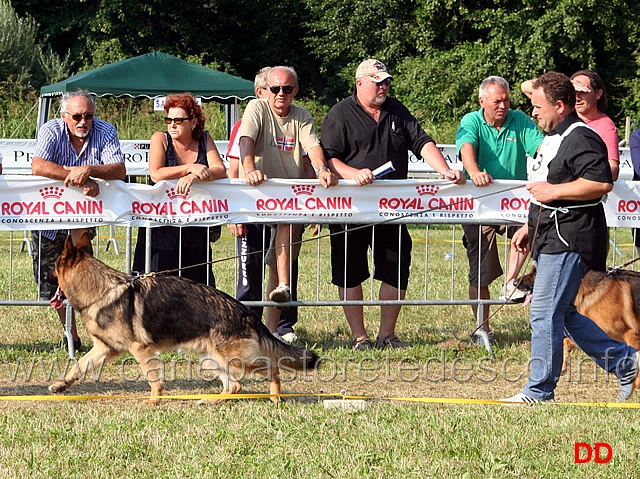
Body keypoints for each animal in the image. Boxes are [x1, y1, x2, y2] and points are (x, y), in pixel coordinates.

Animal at [48, 232, 320, 404]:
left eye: (54, 266)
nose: (46, 278)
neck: (100, 289)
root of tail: (245, 311)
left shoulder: (141, 350)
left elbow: (152, 377)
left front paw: (154, 401)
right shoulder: (104, 349)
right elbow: (78, 366)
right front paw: (61, 386)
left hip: (236, 360)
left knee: (272, 366)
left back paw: (275, 397)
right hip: (211, 360)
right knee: (235, 385)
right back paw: (210, 401)